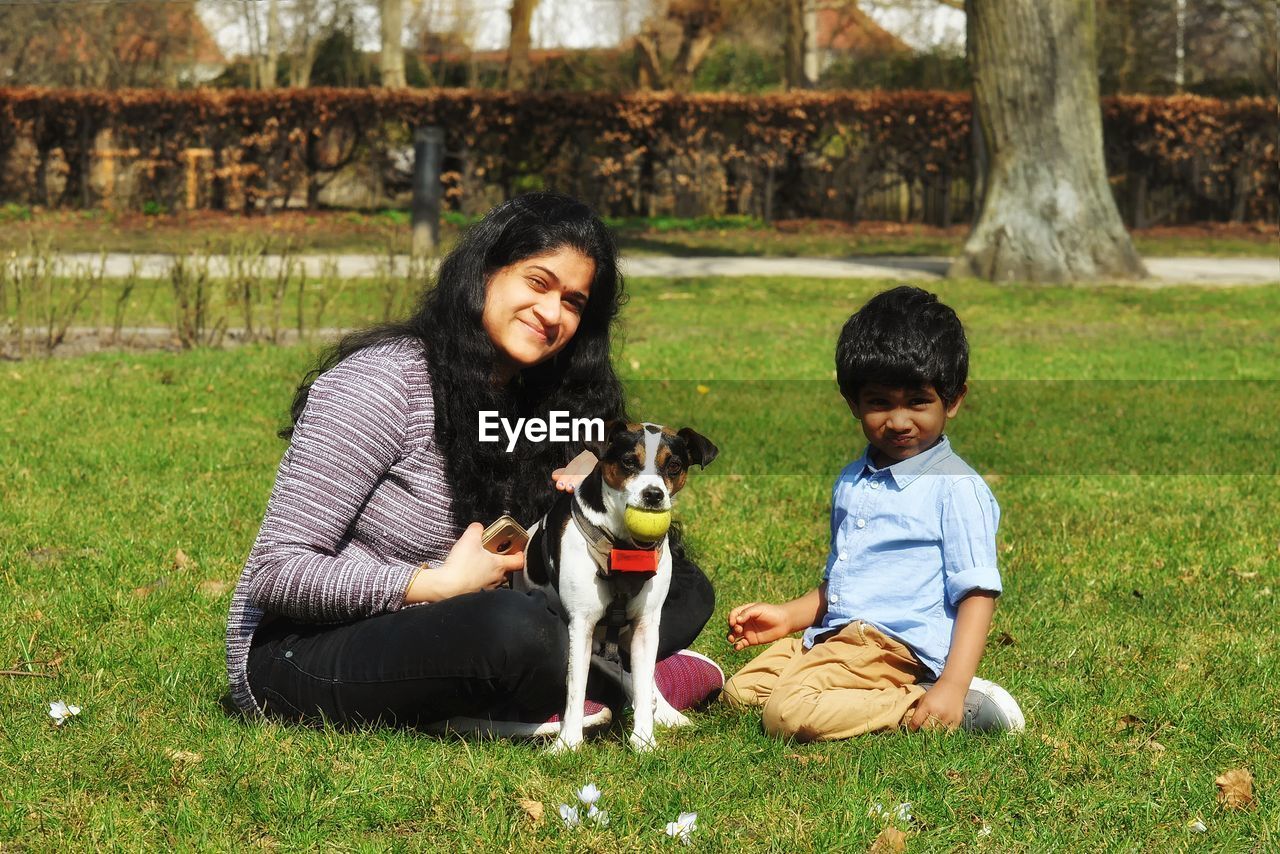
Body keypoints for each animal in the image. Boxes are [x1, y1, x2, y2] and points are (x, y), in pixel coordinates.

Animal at [519, 425, 721, 752]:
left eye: (674, 465)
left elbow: (642, 681)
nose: (653, 495)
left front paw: (644, 740)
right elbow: (576, 689)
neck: (625, 545)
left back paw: (665, 710)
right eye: (628, 462)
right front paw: (568, 743)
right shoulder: (581, 624)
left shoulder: (646, 625)